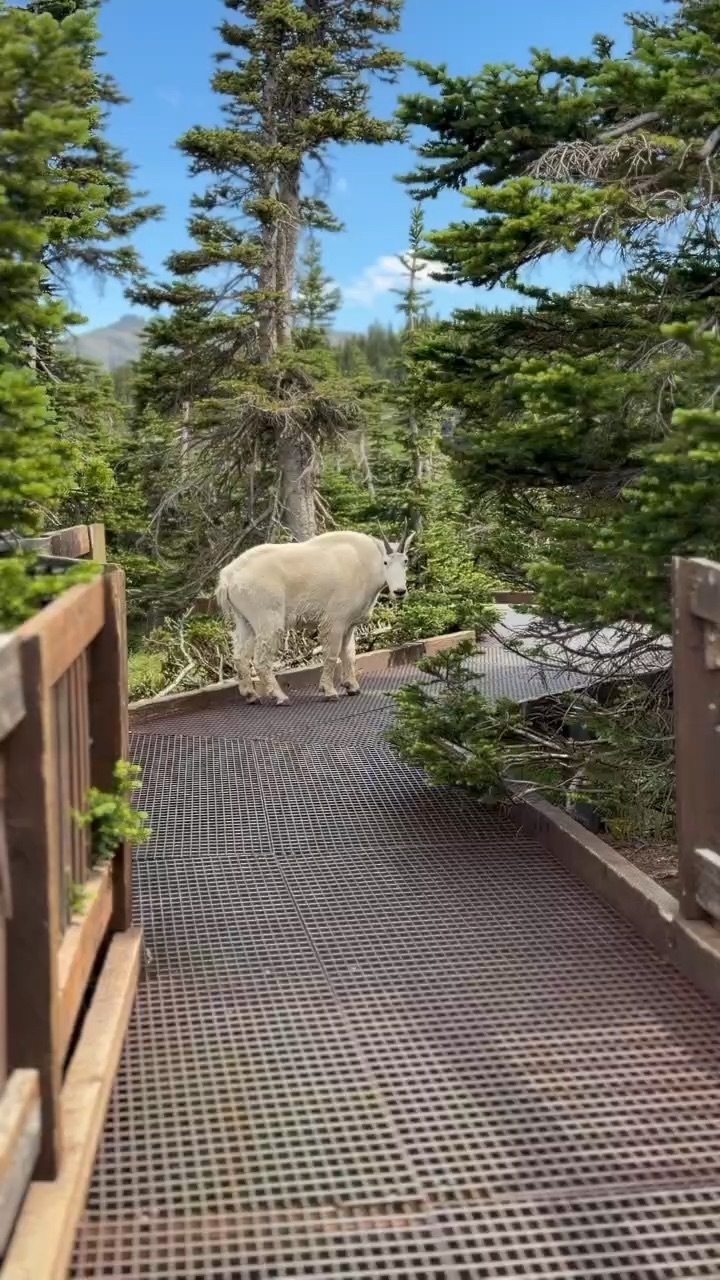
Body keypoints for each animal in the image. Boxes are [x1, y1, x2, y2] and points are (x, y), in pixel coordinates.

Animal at [216, 530, 415, 704]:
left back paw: (250, 695)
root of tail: (228, 577)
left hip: (245, 620)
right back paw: (280, 696)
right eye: (386, 562)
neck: (364, 564)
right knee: (261, 659)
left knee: (240, 655)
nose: (399, 591)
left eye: (405, 561)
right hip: (267, 617)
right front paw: (329, 691)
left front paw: (352, 687)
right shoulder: (335, 620)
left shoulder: (349, 624)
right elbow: (332, 654)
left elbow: (349, 653)